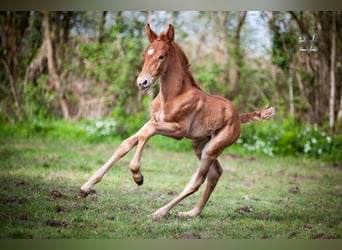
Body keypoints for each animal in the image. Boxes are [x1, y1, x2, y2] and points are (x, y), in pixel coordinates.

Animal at [78, 23, 276, 219]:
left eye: (161, 56)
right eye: (145, 54)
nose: (142, 83)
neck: (172, 96)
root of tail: (238, 116)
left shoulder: (178, 131)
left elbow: (146, 134)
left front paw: (138, 176)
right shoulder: (153, 121)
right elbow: (126, 143)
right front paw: (85, 188)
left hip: (213, 148)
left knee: (197, 181)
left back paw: (160, 212)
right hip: (200, 145)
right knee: (215, 174)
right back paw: (192, 213)